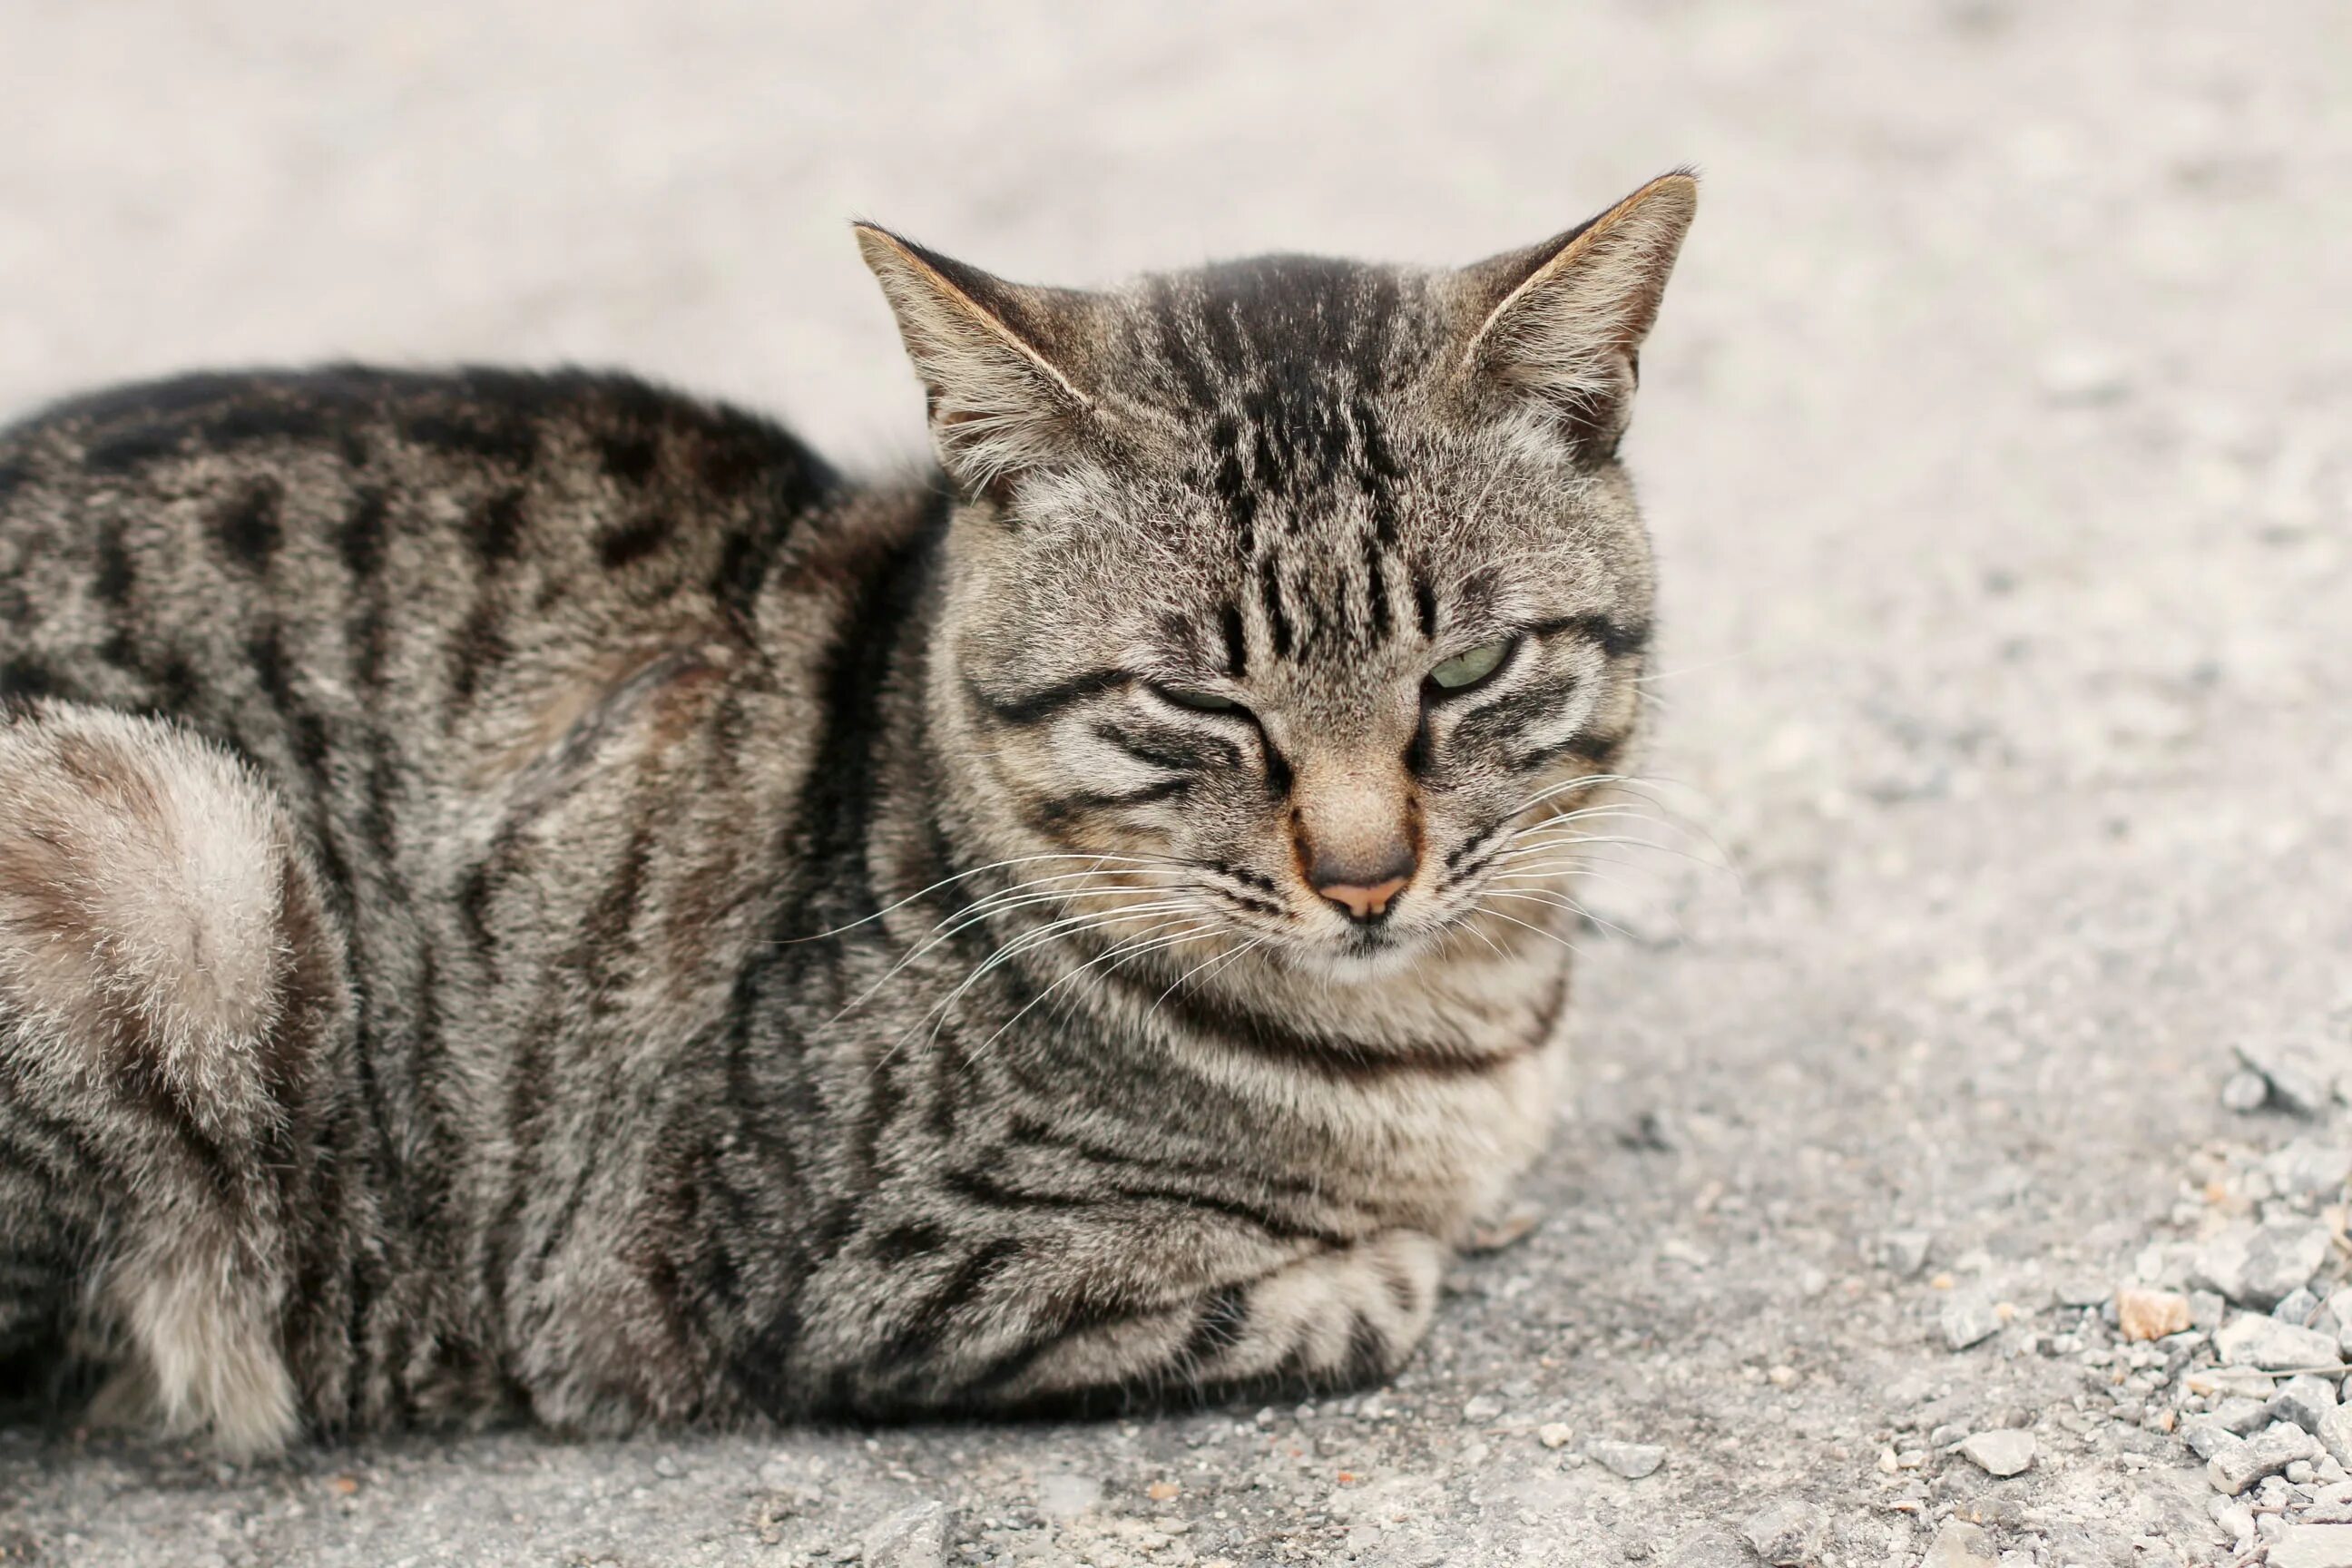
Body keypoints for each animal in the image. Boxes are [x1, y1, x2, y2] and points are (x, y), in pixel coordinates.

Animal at [0, 172, 1702, 1457]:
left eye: (1467, 670)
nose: (1365, 876)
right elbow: (1345, 1297)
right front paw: (1395, 1248)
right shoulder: (863, 1273)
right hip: (165, 850)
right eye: (1200, 704)